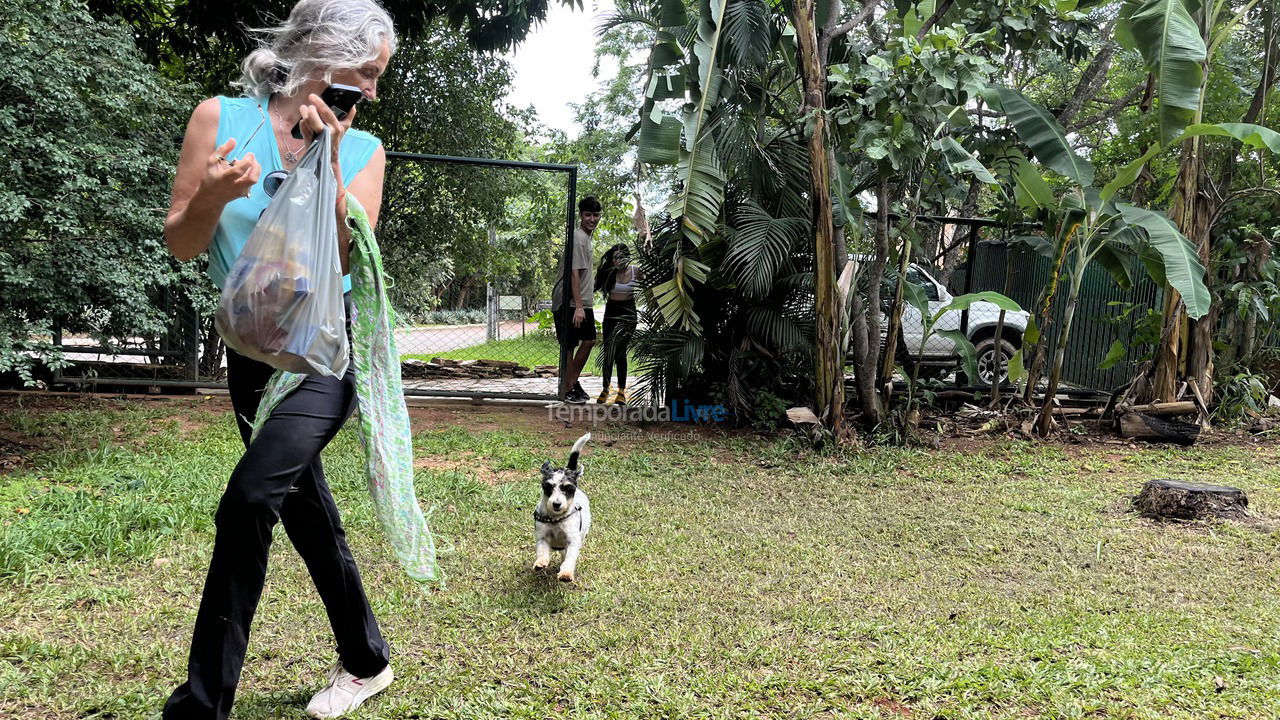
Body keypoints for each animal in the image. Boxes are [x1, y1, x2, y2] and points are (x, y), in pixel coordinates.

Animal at [529, 430, 588, 576]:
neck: (556, 519)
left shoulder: (573, 540)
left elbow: (570, 557)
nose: (556, 504)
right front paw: (541, 562)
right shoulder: (542, 536)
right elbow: (542, 550)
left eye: (568, 488)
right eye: (548, 486)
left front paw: (566, 573)